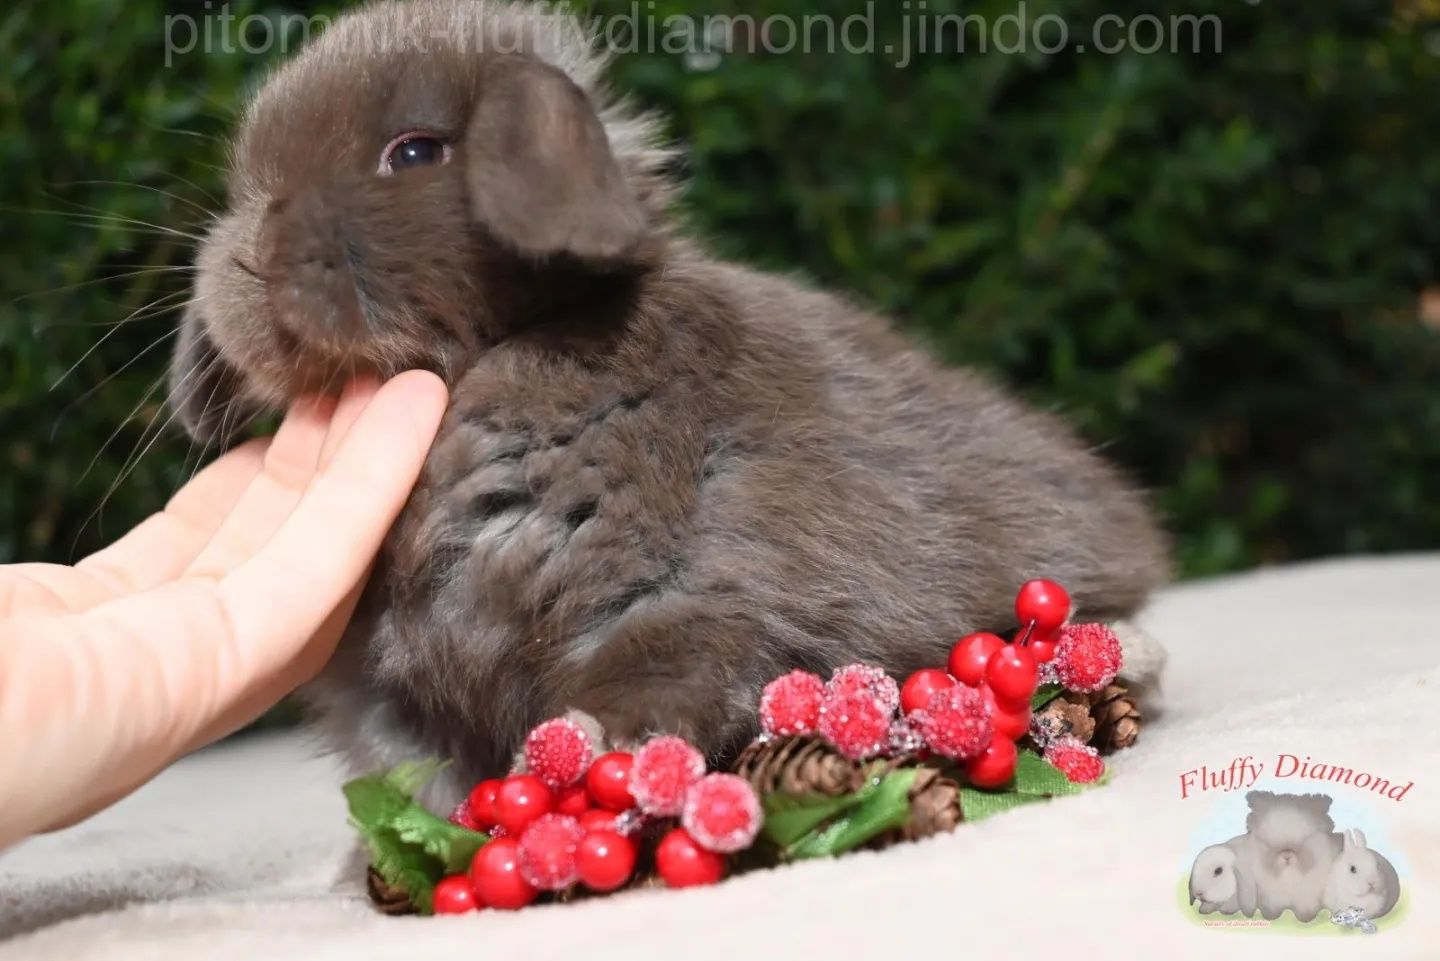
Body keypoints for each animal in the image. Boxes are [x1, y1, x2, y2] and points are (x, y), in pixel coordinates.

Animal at [165, 0, 1169, 806]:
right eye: (245, 183)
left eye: (412, 151)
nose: (243, 262)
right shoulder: (386, 688)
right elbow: (418, 775)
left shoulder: (687, 594)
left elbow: (649, 685)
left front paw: (581, 755)